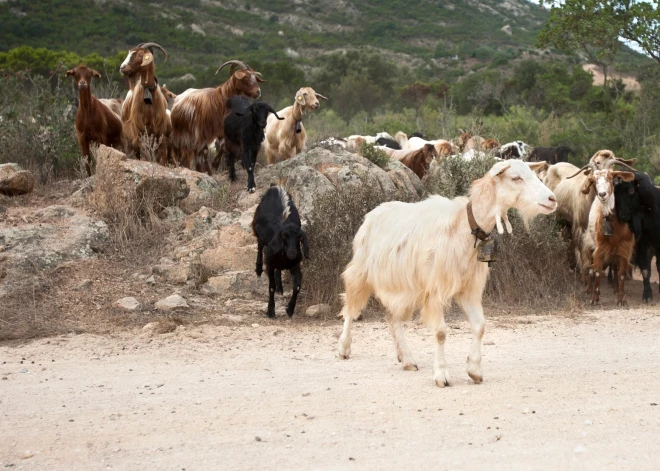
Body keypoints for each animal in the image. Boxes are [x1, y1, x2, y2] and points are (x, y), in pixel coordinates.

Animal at [251, 186, 310, 318]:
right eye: (284, 236)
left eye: (299, 238)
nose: (292, 253)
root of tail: (276, 188)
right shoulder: (270, 265)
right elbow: (271, 287)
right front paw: (270, 311)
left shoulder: (295, 265)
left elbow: (297, 286)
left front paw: (290, 309)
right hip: (258, 231)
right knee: (259, 246)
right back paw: (258, 269)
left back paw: (280, 287)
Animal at [336, 160, 556, 390]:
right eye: (515, 177)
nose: (552, 199)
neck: (465, 227)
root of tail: (372, 214)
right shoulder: (436, 289)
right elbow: (441, 332)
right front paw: (442, 375)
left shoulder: (469, 290)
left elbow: (480, 326)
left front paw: (474, 370)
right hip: (360, 272)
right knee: (350, 309)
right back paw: (344, 348)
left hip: (404, 287)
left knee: (392, 317)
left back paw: (406, 359)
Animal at [612, 173, 660, 302]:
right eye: (614, 192)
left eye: (631, 191)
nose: (622, 215)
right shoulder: (643, 244)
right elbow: (645, 270)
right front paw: (647, 294)